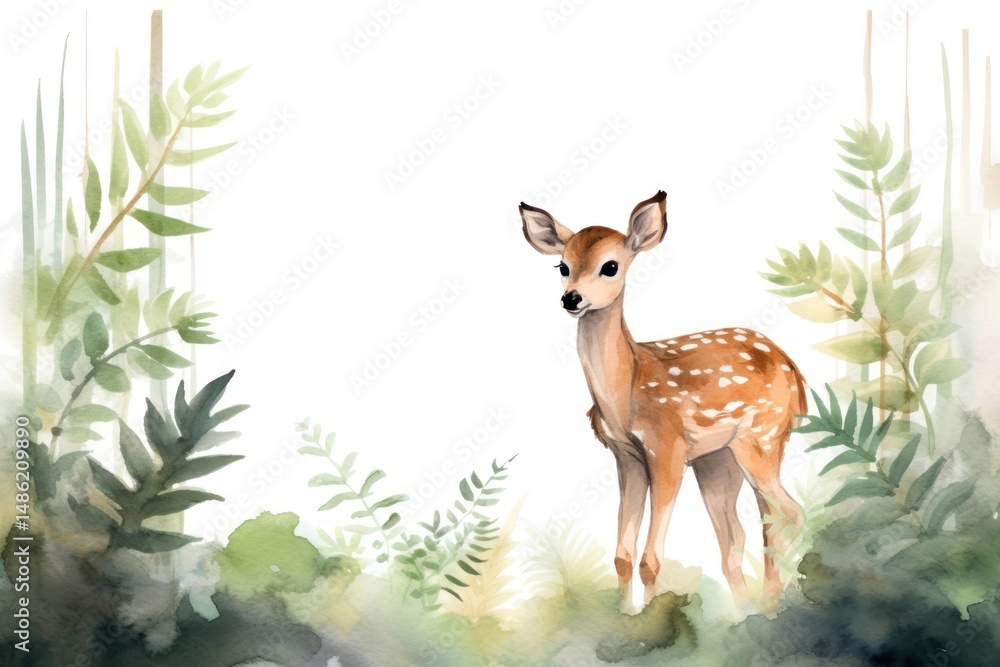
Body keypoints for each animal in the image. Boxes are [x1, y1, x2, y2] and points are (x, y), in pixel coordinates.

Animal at [519, 191, 806, 610]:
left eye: (610, 266)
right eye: (562, 265)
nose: (571, 298)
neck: (626, 394)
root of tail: (797, 375)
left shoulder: (667, 447)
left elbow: (650, 559)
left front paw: (651, 616)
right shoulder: (627, 457)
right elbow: (623, 556)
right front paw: (625, 617)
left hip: (762, 437)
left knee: (790, 514)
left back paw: (773, 604)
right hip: (718, 460)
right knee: (738, 535)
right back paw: (747, 610)